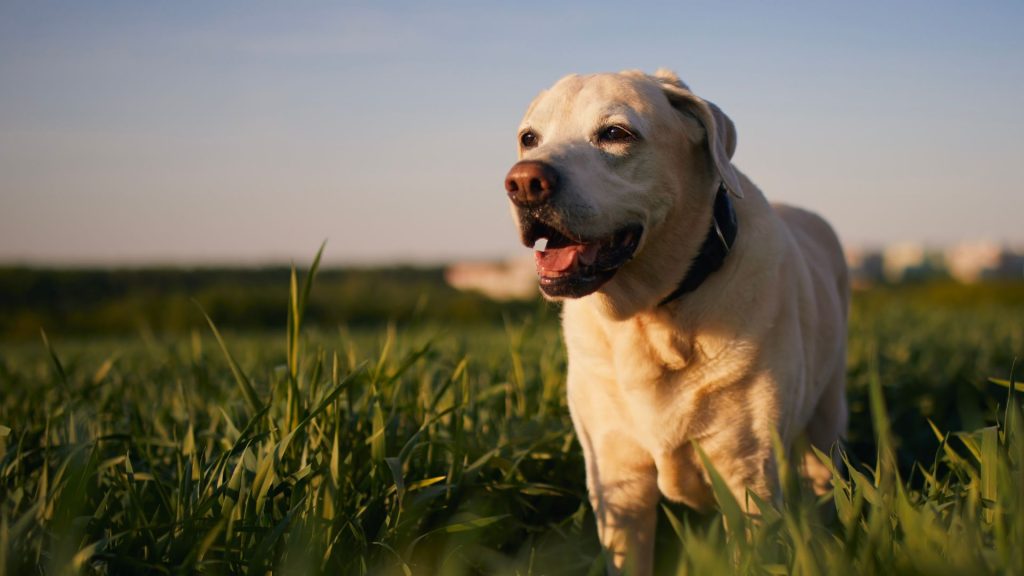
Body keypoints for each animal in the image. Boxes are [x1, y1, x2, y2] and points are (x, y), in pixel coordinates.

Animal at [503, 69, 847, 569]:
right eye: (529, 138)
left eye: (615, 133)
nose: (524, 183)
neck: (650, 319)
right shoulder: (616, 482)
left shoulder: (749, 477)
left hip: (827, 419)